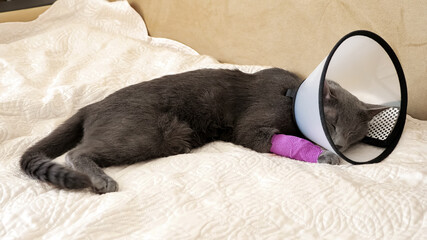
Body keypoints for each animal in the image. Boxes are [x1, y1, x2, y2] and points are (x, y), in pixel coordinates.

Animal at [20, 67, 384, 193]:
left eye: (353, 139)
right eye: (332, 124)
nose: (338, 145)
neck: (293, 94)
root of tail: (91, 106)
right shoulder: (253, 129)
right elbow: (279, 139)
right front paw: (324, 155)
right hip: (147, 133)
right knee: (76, 152)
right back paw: (101, 180)